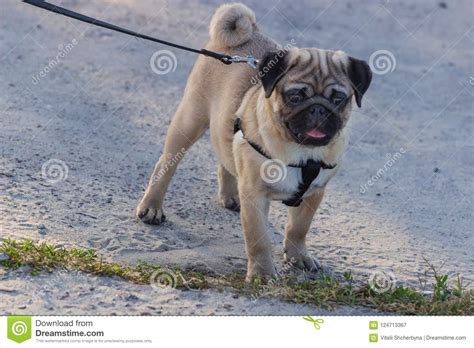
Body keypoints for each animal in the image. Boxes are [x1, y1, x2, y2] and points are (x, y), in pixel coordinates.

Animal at [135, 2, 372, 280]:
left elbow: (299, 228)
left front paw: (298, 256)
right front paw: (262, 274)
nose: (318, 109)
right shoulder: (256, 197)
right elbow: (258, 239)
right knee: (166, 164)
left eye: (338, 99)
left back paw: (230, 195)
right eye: (295, 96)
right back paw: (152, 206)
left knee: (225, 155)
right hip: (189, 120)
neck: (300, 151)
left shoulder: (314, 193)